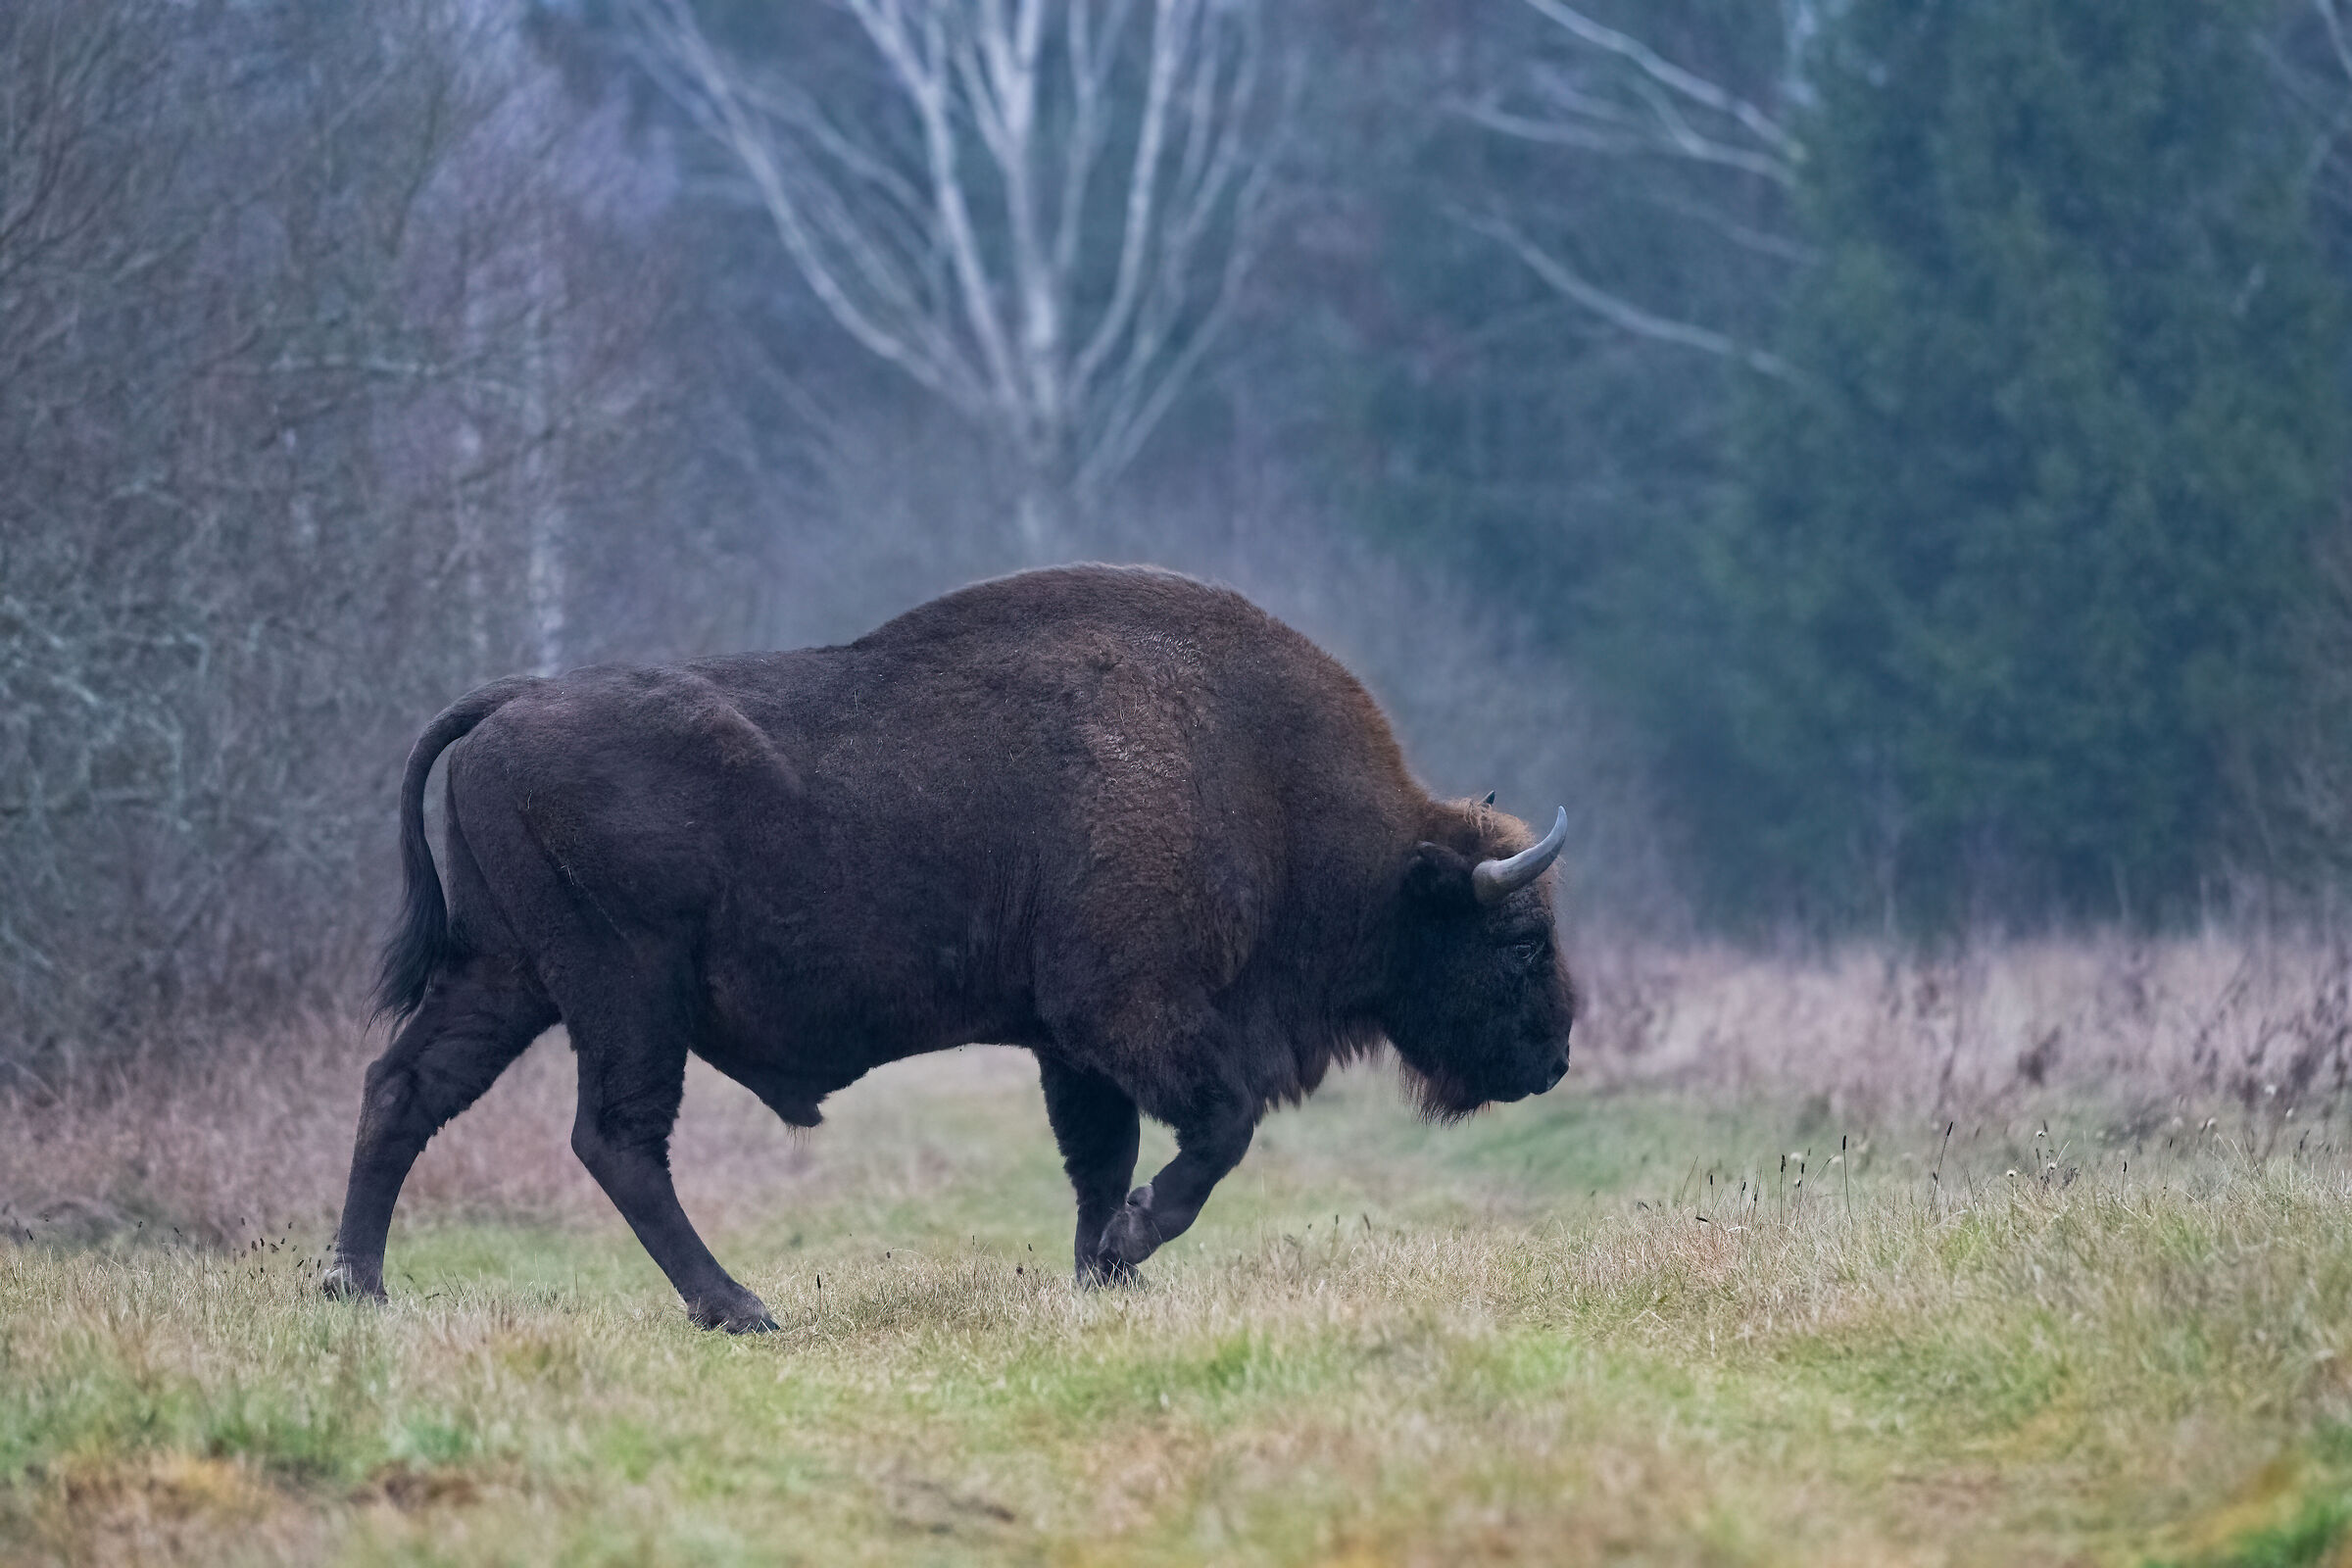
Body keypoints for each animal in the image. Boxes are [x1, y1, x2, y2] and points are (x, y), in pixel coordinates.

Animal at [323, 565, 1574, 1329]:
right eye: (1520, 941)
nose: (1556, 1054)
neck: (1269, 787)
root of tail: (509, 707)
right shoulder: (1132, 1015)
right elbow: (1214, 1133)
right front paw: (1129, 1246)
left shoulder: (1072, 1047)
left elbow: (1101, 1157)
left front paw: (1099, 1272)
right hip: (624, 990)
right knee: (618, 1139)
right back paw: (741, 1308)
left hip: (506, 977)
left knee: (405, 1089)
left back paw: (358, 1290)